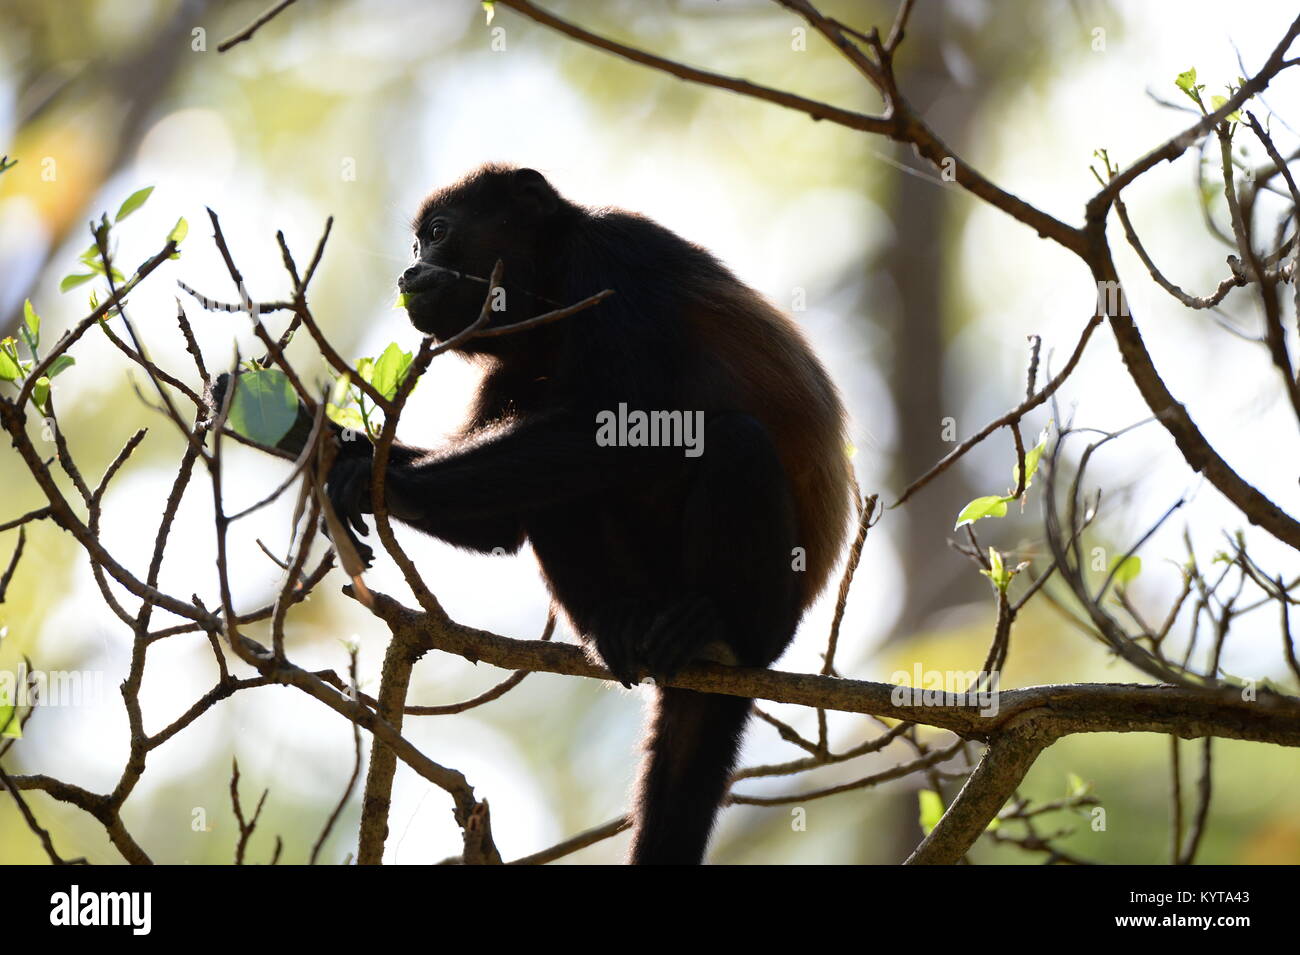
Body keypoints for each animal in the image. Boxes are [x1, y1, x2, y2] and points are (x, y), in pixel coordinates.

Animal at [325, 164, 852, 867]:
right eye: (415, 245)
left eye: (436, 233)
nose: (409, 271)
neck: (547, 295)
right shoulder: (510, 360)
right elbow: (495, 528)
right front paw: (311, 438)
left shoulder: (612, 261)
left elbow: (621, 428)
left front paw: (374, 472)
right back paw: (618, 625)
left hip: (775, 613)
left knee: (735, 441)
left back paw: (717, 629)